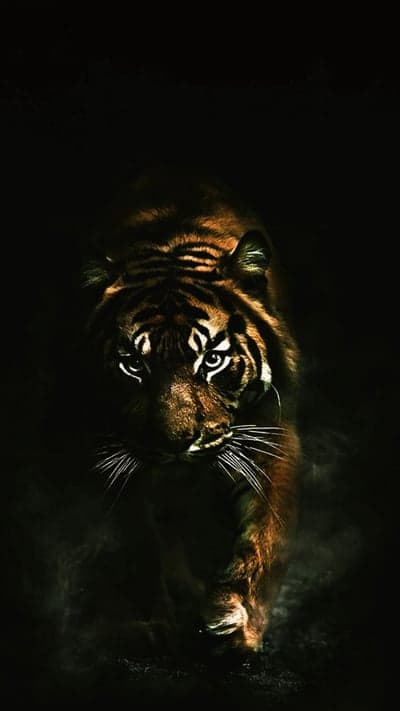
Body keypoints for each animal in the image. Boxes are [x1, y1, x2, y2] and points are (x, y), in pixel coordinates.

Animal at [82, 171, 301, 658]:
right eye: (133, 364)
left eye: (212, 360)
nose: (176, 443)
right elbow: (143, 543)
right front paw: (157, 623)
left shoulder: (270, 433)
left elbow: (265, 535)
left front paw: (237, 624)